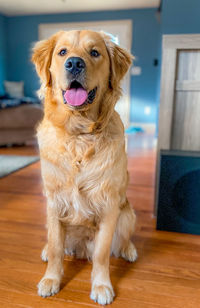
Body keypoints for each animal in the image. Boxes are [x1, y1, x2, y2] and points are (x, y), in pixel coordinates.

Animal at [31, 30, 138, 304]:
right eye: (62, 52)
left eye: (94, 53)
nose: (74, 64)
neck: (79, 134)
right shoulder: (54, 201)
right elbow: (56, 248)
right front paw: (51, 280)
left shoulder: (109, 205)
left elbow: (101, 253)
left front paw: (101, 286)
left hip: (127, 213)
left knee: (122, 239)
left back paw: (128, 249)